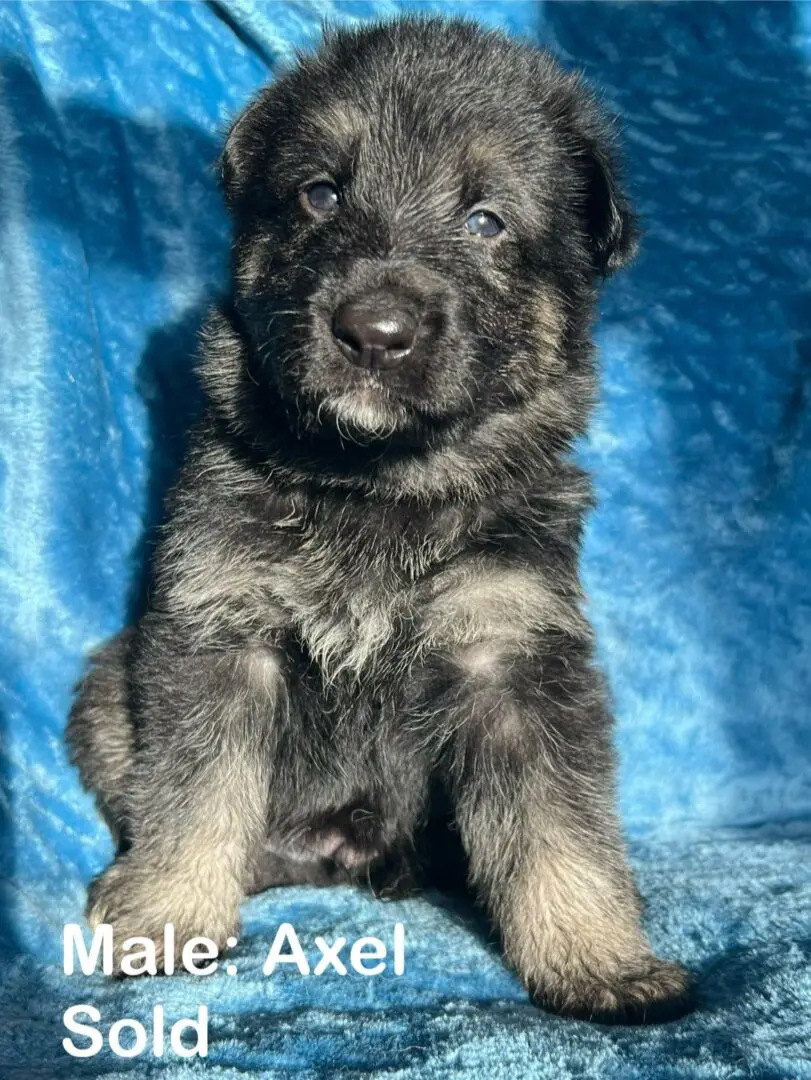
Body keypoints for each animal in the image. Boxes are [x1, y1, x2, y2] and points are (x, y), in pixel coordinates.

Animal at [66, 21, 695, 1023]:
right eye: (321, 193)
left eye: (486, 221)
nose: (374, 330)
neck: (380, 483)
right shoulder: (220, 631)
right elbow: (195, 790)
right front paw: (164, 913)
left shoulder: (512, 652)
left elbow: (559, 827)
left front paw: (598, 958)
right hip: (102, 689)